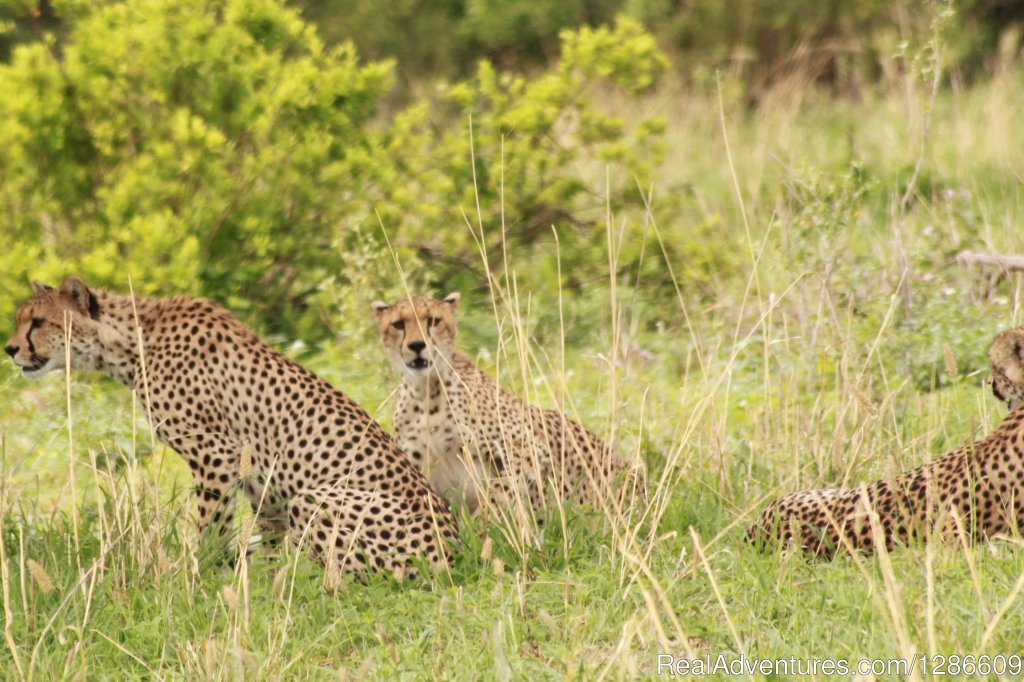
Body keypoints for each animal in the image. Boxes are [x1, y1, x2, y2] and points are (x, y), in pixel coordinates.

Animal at [6, 276, 456, 573]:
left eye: (38, 322)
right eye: (22, 320)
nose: (9, 349)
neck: (131, 342)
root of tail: (454, 551)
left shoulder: (217, 455)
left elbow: (210, 527)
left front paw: (198, 572)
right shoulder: (264, 486)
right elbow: (263, 538)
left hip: (315, 499)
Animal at [368, 292, 622, 516]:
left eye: (433, 321)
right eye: (398, 324)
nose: (417, 345)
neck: (426, 391)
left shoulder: (529, 448)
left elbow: (499, 493)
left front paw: (483, 526)